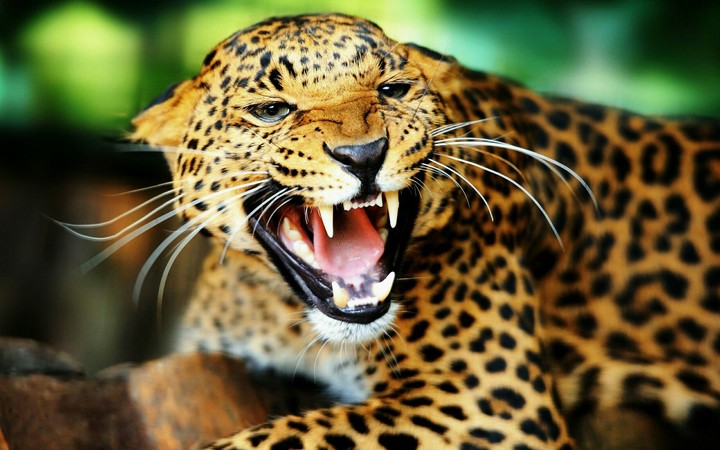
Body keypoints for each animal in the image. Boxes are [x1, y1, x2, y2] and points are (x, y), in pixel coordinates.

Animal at [129, 13, 720, 449]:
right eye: (271, 110)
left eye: (392, 90)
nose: (363, 154)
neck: (283, 316)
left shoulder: (487, 403)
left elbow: (286, 435)